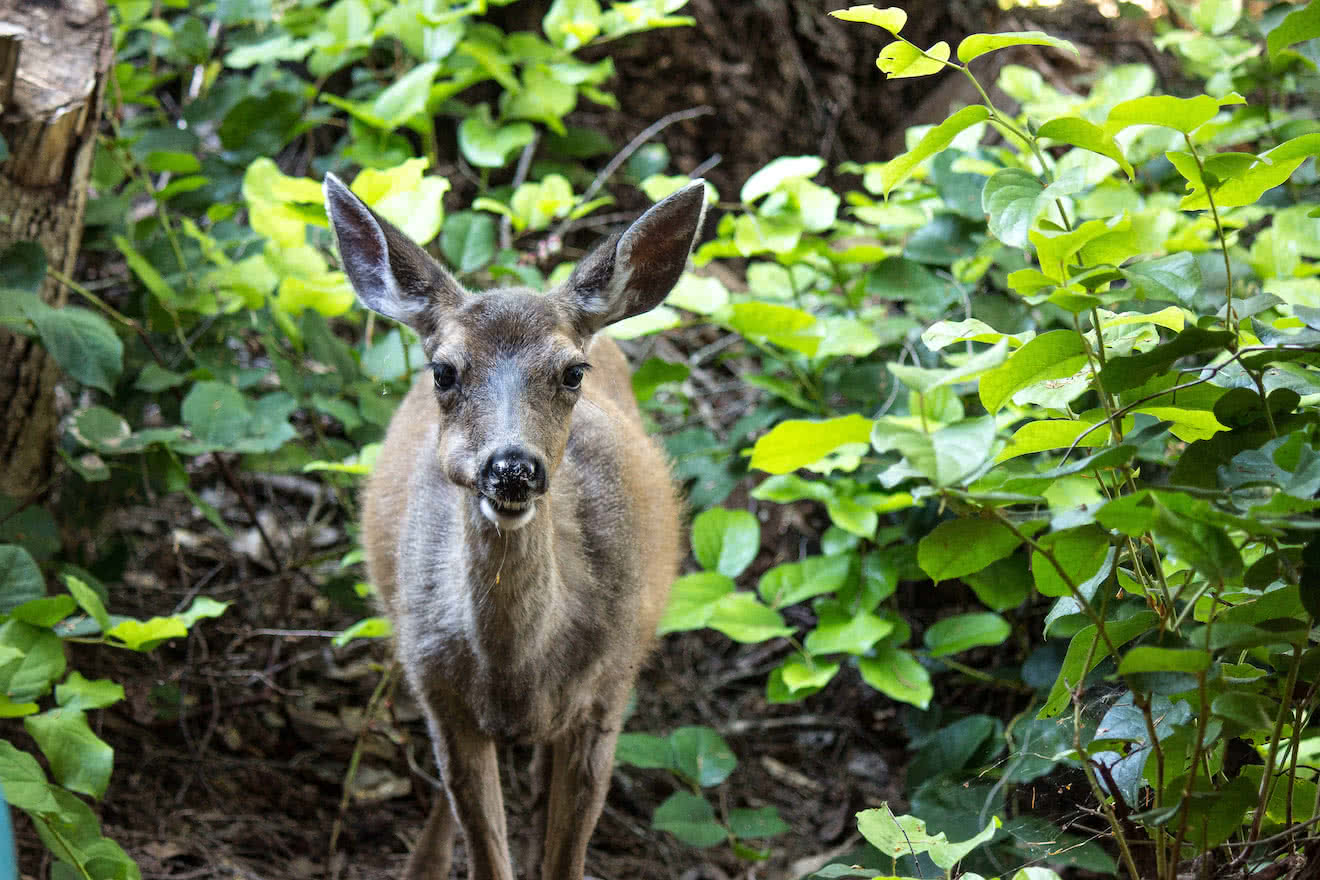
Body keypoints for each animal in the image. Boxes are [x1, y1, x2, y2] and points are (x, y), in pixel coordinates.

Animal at [323, 174, 707, 880]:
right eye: (444, 370)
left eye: (572, 371)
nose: (512, 468)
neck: (518, 669)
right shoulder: (439, 692)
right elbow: (484, 847)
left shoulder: (608, 694)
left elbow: (566, 857)